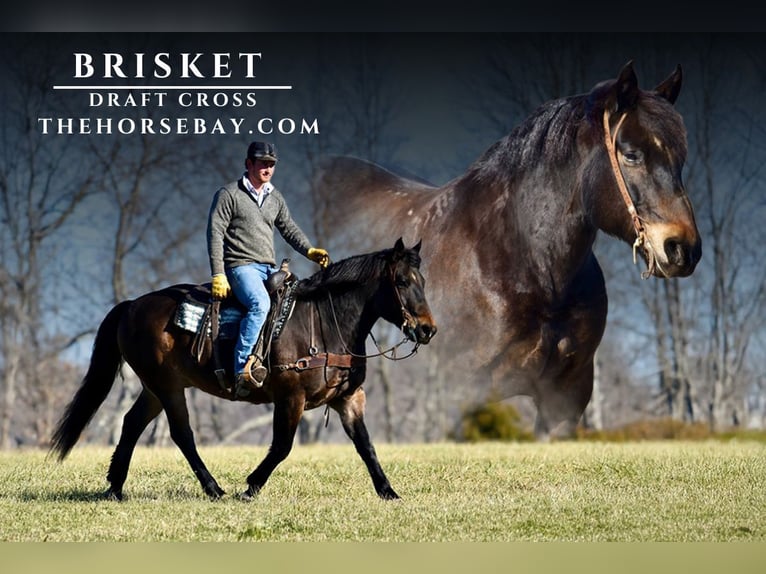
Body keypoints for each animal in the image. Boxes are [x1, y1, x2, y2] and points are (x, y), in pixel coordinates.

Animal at [51, 238, 438, 500]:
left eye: (423, 281)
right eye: (402, 282)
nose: (427, 330)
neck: (326, 324)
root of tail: (132, 305)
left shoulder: (349, 400)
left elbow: (366, 446)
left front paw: (388, 491)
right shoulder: (290, 398)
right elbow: (281, 446)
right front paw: (250, 487)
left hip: (154, 389)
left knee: (132, 424)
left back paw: (115, 487)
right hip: (168, 387)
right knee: (182, 434)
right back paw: (213, 488)